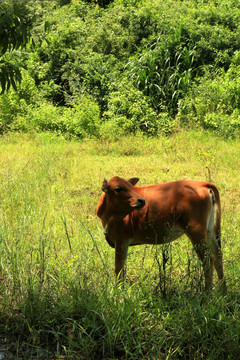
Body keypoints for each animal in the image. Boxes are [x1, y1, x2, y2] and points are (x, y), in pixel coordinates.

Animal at [96, 176, 226, 292]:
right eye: (118, 188)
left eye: (131, 188)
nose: (141, 200)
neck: (107, 216)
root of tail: (202, 184)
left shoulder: (121, 238)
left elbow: (119, 268)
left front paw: (118, 294)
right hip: (209, 230)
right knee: (218, 255)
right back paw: (222, 291)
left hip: (196, 231)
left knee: (208, 259)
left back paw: (208, 294)